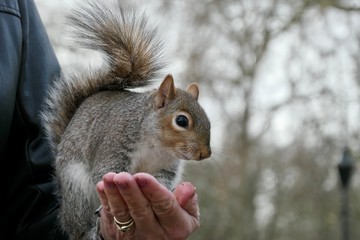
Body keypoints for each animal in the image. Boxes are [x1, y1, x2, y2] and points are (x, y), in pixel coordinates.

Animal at [40, 0, 211, 238]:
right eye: (182, 121)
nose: (205, 153)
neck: (157, 145)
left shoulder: (165, 167)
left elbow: (163, 180)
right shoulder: (115, 142)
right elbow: (104, 169)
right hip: (76, 190)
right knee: (78, 225)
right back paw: (89, 230)